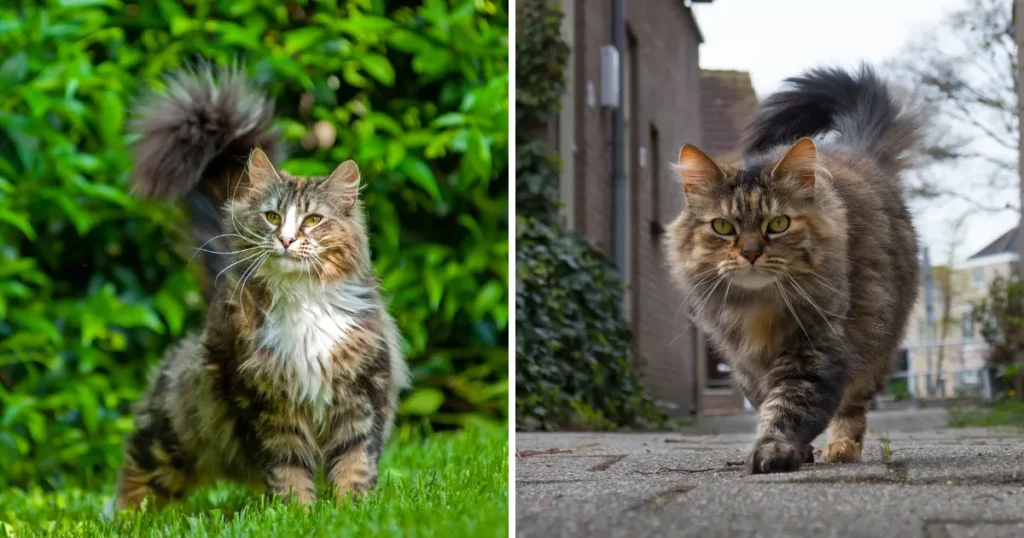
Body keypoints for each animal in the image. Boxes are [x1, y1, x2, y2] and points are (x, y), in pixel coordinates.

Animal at [102, 65, 407, 514]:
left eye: (312, 220)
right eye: (273, 216)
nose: (286, 240)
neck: (303, 304)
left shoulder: (362, 395)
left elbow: (355, 463)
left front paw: (350, 511)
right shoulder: (269, 405)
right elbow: (288, 468)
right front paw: (299, 514)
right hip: (177, 427)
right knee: (141, 466)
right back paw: (123, 517)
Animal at [667, 65, 925, 471]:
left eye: (778, 224)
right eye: (723, 227)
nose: (751, 252)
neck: (759, 308)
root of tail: (858, 152)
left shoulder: (814, 346)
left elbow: (790, 405)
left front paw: (774, 451)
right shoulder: (744, 362)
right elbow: (766, 401)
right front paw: (798, 452)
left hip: (876, 338)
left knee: (854, 404)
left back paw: (842, 448)